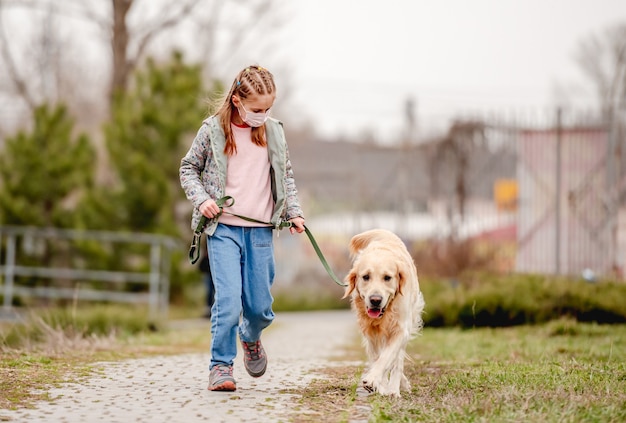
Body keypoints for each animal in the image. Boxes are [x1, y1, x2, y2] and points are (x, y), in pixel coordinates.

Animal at [342, 229, 424, 398]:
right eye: (366, 277)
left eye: (387, 278)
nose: (375, 300)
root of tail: (386, 235)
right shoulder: (371, 333)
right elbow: (378, 357)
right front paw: (380, 385)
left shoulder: (401, 330)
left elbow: (387, 358)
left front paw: (376, 381)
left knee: (397, 360)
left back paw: (394, 388)